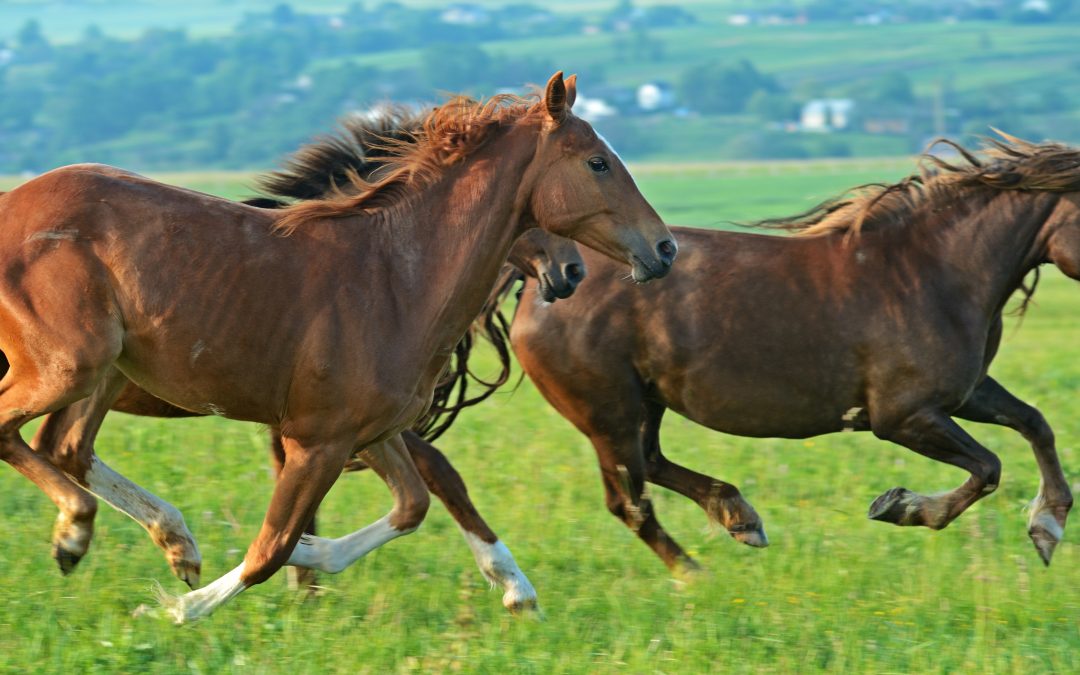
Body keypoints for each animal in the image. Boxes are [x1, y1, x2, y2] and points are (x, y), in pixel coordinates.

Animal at [0, 72, 673, 622]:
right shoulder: (315, 439)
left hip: (101, 375)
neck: (394, 277)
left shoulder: (368, 432)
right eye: (598, 163)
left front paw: (313, 562)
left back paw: (160, 540)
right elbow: (269, 547)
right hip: (71, 367)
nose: (663, 249)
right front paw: (179, 608)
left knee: (64, 445)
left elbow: (412, 505)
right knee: (30, 436)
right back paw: (84, 530)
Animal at [503, 132, 1071, 570]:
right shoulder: (904, 417)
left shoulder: (963, 394)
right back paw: (696, 574)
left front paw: (1048, 527)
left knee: (651, 464)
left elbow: (1035, 423)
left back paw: (739, 517)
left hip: (644, 402)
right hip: (606, 411)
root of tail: (537, 286)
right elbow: (988, 467)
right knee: (630, 500)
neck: (933, 272)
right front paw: (901, 507)